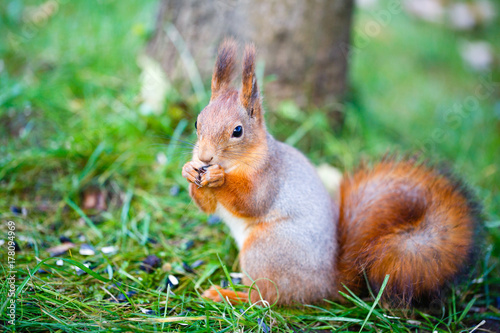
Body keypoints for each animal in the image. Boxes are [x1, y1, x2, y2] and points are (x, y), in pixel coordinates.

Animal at [182, 39, 482, 306]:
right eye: (198, 122)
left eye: (238, 131)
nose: (205, 157)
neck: (233, 163)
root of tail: (327, 285)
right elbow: (208, 207)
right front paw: (189, 170)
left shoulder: (269, 176)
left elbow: (251, 202)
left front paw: (218, 179)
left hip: (266, 249)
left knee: (265, 299)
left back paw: (228, 295)